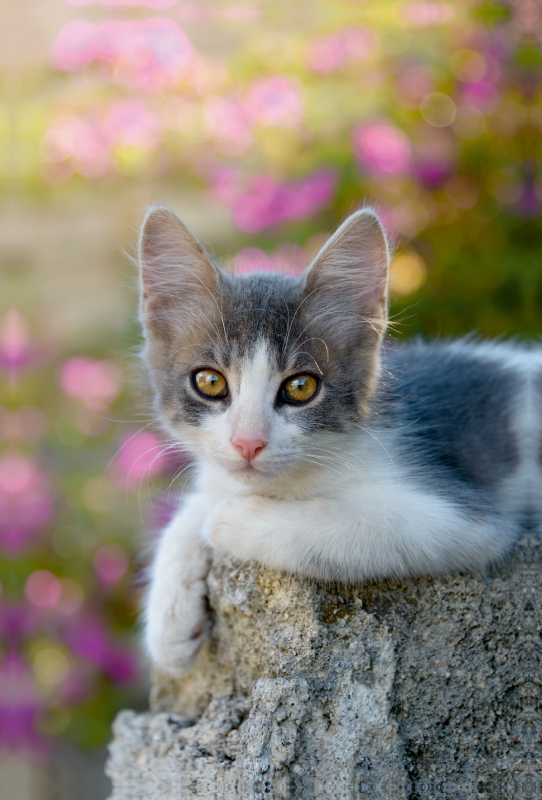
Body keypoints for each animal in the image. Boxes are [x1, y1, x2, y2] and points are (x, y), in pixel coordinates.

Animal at [139, 206, 540, 676]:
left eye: (300, 388)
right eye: (209, 382)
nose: (248, 443)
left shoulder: (465, 518)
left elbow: (364, 528)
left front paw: (233, 520)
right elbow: (194, 506)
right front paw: (169, 621)